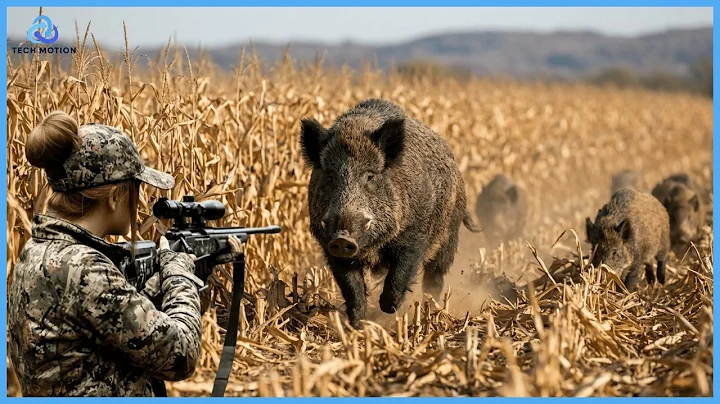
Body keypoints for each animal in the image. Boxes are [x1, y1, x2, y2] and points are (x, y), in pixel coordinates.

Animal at [300, 98, 479, 328]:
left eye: (370, 176)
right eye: (330, 176)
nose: (342, 238)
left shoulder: (414, 234)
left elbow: (400, 274)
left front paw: (389, 308)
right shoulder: (330, 248)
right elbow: (352, 289)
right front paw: (357, 325)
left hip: (449, 236)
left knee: (435, 278)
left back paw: (431, 310)